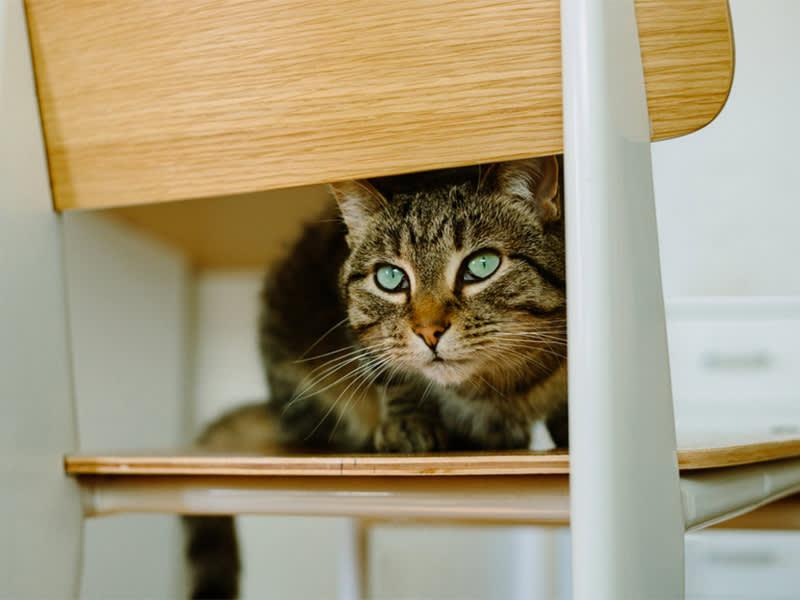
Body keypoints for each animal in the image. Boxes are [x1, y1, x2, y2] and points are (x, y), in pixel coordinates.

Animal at [186, 157, 568, 596]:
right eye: (390, 278)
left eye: (481, 266)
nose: (429, 331)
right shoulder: (364, 340)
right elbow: (395, 375)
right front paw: (409, 424)